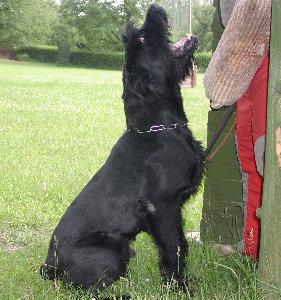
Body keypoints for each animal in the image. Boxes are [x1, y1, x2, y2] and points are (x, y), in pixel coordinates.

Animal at [40, 3, 203, 294]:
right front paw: (179, 288)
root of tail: (49, 266)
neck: (157, 129)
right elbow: (173, 250)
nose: (154, 8)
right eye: (142, 39)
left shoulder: (174, 210)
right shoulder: (161, 207)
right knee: (91, 289)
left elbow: (180, 246)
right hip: (113, 246)